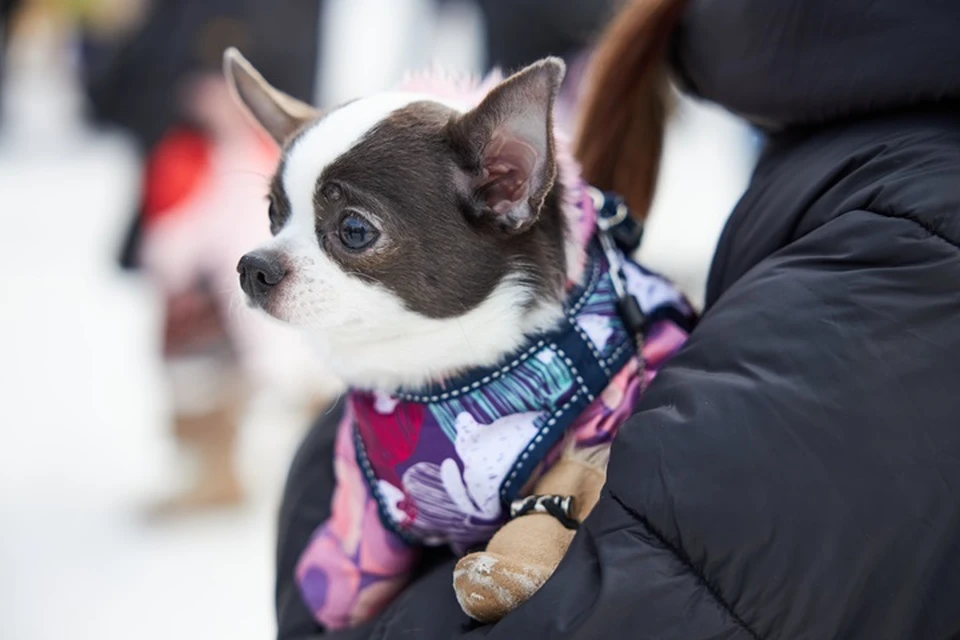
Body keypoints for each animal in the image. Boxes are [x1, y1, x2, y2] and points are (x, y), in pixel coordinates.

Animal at [225, 15, 688, 624]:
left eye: (354, 230)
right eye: (272, 215)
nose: (253, 265)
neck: (430, 377)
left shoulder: (600, 421)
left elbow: (565, 487)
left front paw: (500, 572)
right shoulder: (366, 512)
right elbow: (353, 571)